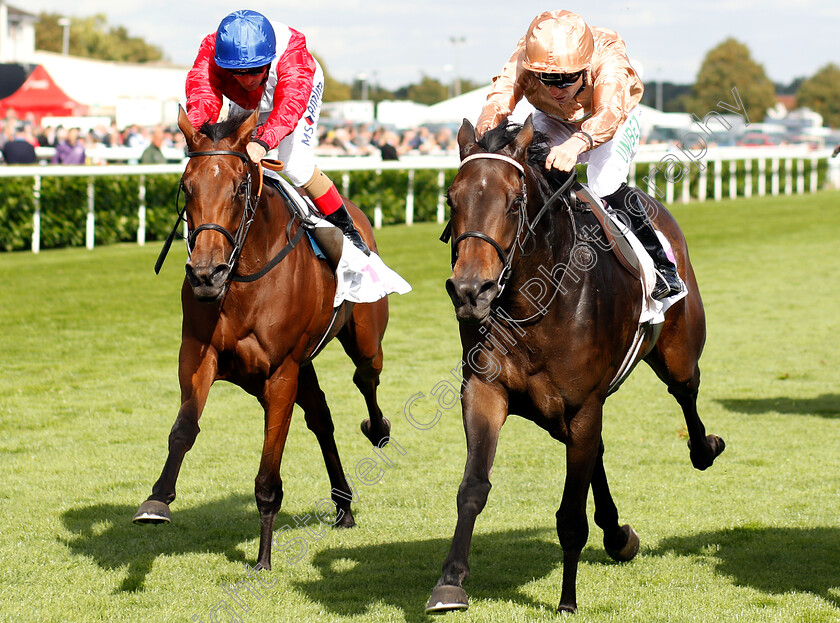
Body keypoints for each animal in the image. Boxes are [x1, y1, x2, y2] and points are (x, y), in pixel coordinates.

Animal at [133, 108, 392, 572]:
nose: (206, 274)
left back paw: (377, 429)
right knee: (321, 416)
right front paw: (157, 500)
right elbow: (183, 428)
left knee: (366, 376)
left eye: (240, 187)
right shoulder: (201, 356)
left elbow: (268, 475)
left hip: (362, 337)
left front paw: (263, 558)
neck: (242, 281)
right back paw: (343, 505)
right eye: (186, 187)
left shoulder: (280, 373)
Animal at [430, 117, 724, 616]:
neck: (533, 299)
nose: (471, 291)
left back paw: (704, 449)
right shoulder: (488, 390)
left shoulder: (583, 403)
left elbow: (570, 514)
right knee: (596, 452)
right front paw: (450, 582)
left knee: (686, 392)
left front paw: (567, 600)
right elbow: (472, 486)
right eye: (452, 199)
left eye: (514, 202)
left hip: (677, 353)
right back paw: (618, 535)